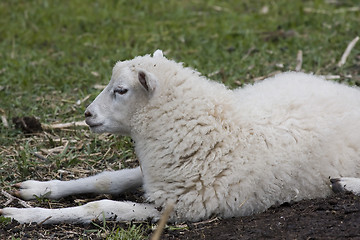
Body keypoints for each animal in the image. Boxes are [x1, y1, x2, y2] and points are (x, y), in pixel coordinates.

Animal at [2, 49, 360, 224]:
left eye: (121, 90)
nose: (87, 114)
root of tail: (349, 91)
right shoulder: (159, 175)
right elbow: (108, 181)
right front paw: (36, 190)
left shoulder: (184, 205)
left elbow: (99, 207)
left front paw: (21, 215)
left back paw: (344, 184)